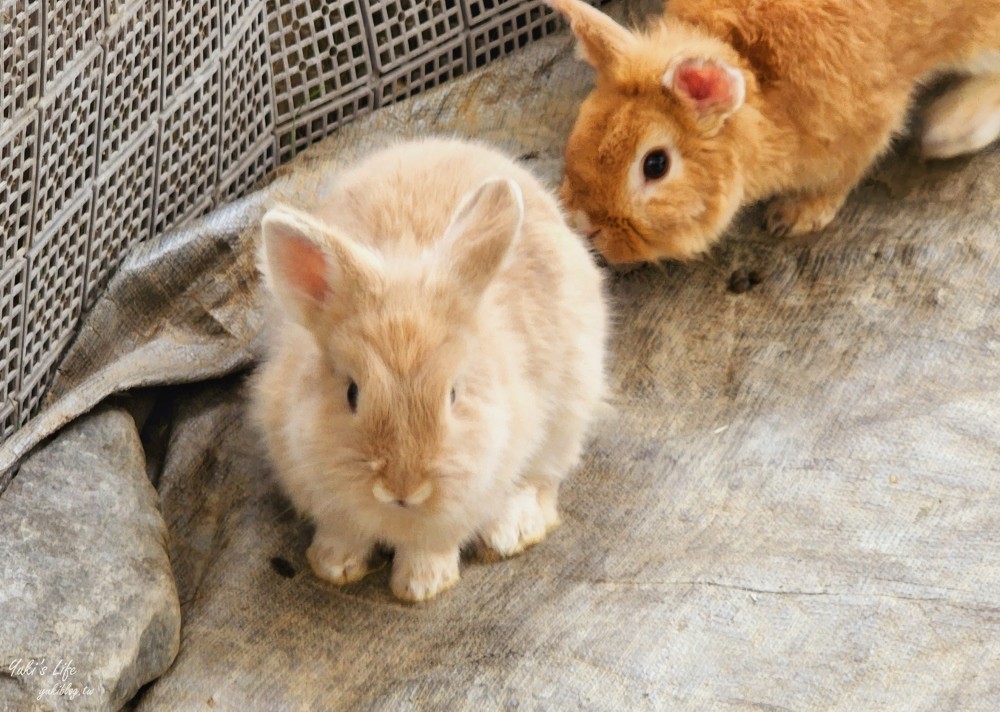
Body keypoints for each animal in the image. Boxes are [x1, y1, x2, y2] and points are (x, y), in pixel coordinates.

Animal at [252, 138, 608, 600]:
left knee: (543, 480)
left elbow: (432, 544)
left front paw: (422, 587)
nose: (403, 489)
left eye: (453, 395)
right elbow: (343, 532)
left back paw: (510, 532)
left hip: (569, 408)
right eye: (351, 393)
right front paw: (334, 566)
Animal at [548, 0, 1000, 264]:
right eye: (582, 125)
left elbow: (840, 178)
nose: (586, 227)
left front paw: (793, 218)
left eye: (655, 165)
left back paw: (947, 130)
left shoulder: (865, 128)